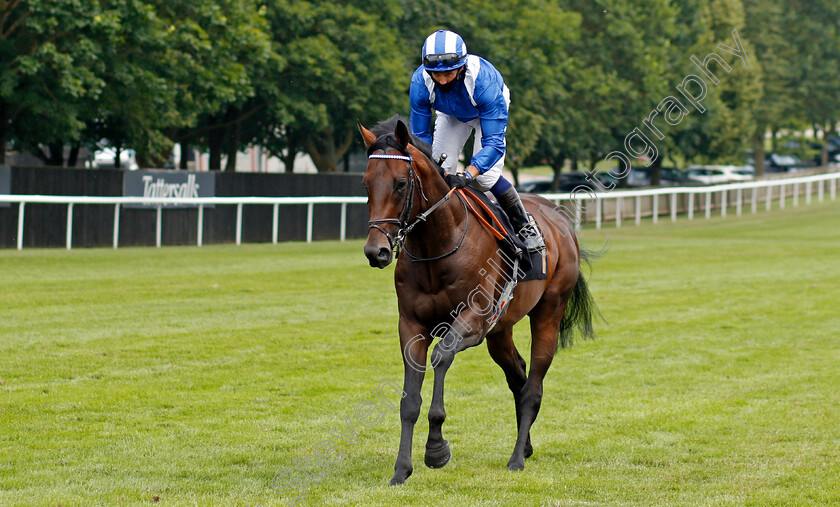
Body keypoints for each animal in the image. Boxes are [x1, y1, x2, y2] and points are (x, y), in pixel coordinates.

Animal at [360, 117, 596, 486]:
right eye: (366, 183)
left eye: (400, 183)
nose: (377, 251)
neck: (439, 244)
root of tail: (560, 220)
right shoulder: (411, 325)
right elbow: (409, 400)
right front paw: (401, 470)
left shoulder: (474, 320)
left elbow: (441, 356)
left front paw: (436, 448)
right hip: (501, 330)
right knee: (518, 376)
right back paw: (526, 446)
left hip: (549, 311)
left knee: (533, 386)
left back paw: (516, 458)